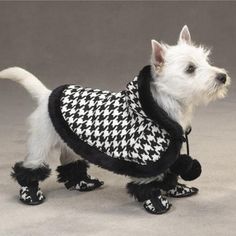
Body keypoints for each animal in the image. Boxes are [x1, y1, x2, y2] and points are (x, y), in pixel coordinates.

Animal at [0, 25, 230, 214]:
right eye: (190, 69)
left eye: (206, 60)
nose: (223, 76)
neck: (165, 104)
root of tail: (46, 95)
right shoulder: (145, 158)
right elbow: (149, 182)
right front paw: (156, 202)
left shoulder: (167, 152)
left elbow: (168, 172)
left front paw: (177, 188)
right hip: (41, 142)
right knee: (31, 166)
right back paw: (30, 194)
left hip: (70, 140)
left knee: (69, 161)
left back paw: (83, 182)